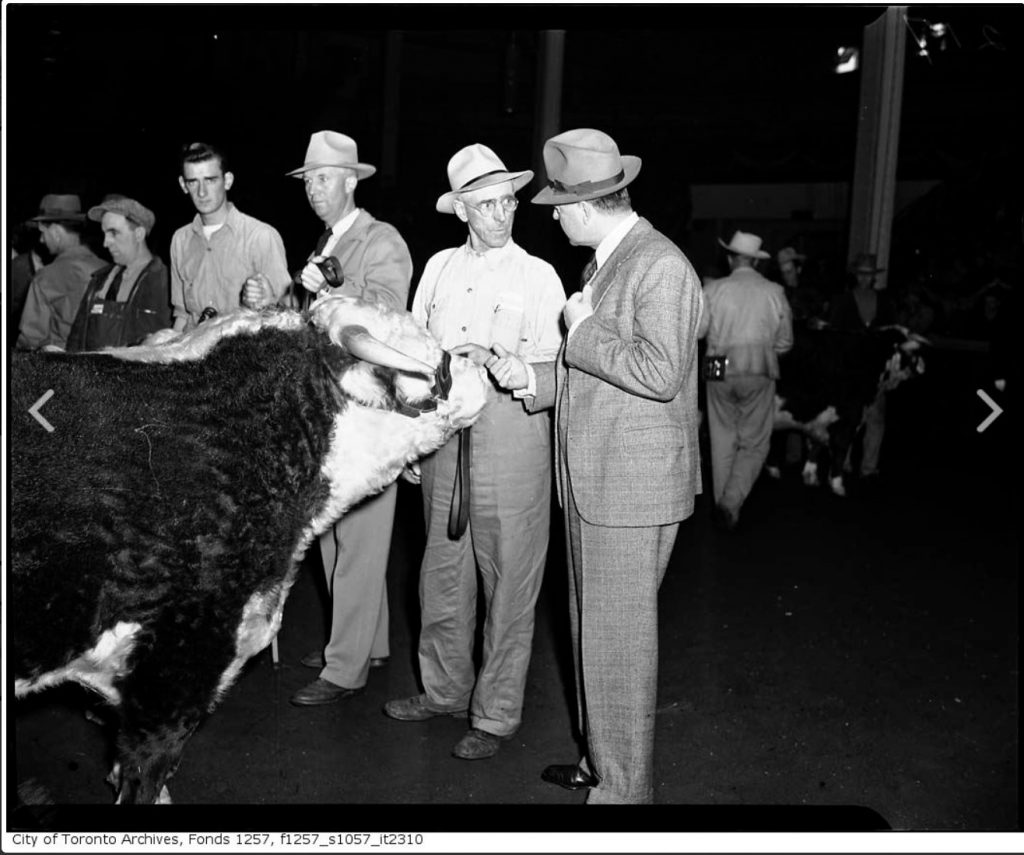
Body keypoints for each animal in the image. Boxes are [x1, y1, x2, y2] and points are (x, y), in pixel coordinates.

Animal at [770, 321, 925, 495]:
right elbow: (840, 450)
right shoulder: (848, 419)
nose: (923, 367)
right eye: (914, 353)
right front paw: (838, 486)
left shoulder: (821, 420)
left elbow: (816, 447)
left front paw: (811, 477)